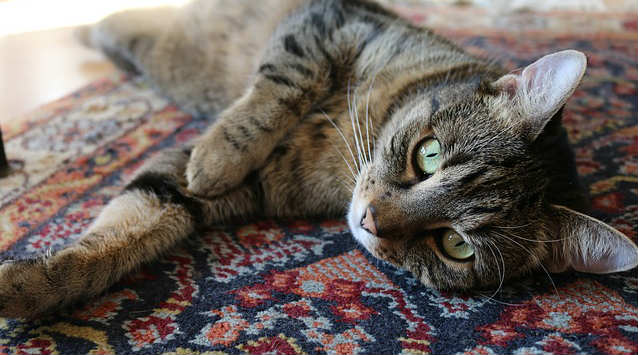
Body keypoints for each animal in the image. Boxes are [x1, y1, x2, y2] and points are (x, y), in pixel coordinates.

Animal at [1, 0, 638, 320]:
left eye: (455, 246)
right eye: (428, 154)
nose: (371, 220)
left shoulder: (247, 187)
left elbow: (134, 224)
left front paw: (30, 286)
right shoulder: (329, 23)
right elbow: (281, 85)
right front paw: (218, 154)